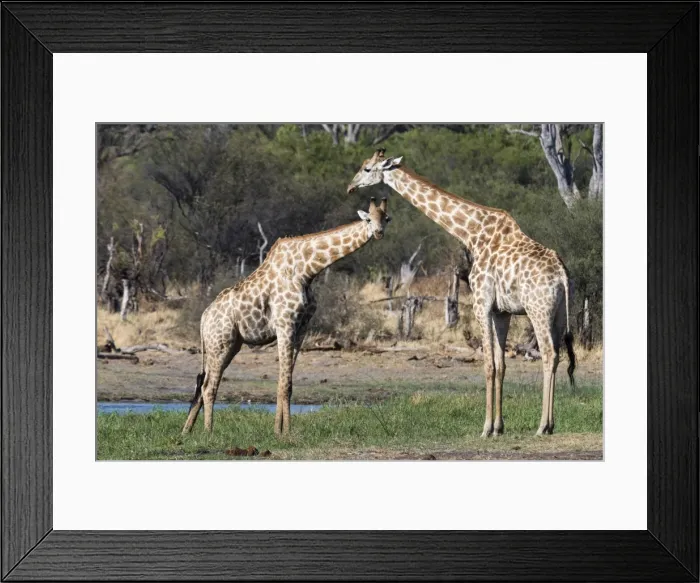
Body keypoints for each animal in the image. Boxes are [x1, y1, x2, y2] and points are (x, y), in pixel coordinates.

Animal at [182, 198, 392, 436]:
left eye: (386, 218)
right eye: (368, 219)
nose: (378, 232)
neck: (307, 270)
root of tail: (203, 319)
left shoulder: (301, 328)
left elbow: (286, 383)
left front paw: (279, 430)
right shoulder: (285, 324)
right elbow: (284, 383)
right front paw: (285, 433)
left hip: (229, 345)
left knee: (202, 383)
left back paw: (187, 431)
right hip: (220, 343)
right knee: (209, 386)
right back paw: (208, 432)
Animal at [347, 149, 575, 437]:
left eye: (367, 169)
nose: (350, 186)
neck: (472, 234)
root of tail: (562, 275)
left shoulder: (481, 303)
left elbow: (488, 364)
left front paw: (486, 428)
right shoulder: (501, 312)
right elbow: (501, 364)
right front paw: (499, 427)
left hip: (538, 310)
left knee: (548, 353)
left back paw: (542, 425)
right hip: (559, 314)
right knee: (557, 356)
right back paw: (551, 424)